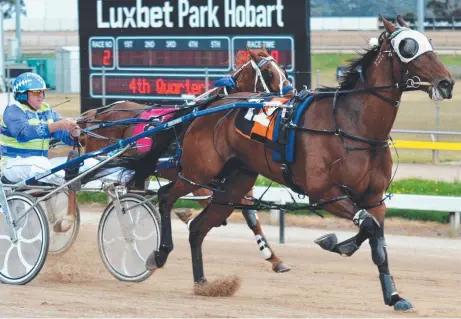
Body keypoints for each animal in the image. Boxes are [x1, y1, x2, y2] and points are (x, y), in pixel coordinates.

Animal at [75, 47, 292, 272]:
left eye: (283, 70)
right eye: (269, 73)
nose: (291, 95)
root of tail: (96, 113)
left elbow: (250, 218)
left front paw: (274, 258)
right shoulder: (196, 176)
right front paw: (185, 218)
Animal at [146, 14, 452, 310]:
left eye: (429, 42)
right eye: (408, 47)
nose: (446, 83)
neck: (351, 123)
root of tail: (205, 108)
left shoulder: (374, 198)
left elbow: (375, 237)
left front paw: (393, 295)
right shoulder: (325, 193)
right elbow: (368, 227)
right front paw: (335, 243)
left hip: (233, 184)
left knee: (198, 228)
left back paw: (203, 284)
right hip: (198, 171)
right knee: (165, 195)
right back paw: (159, 254)